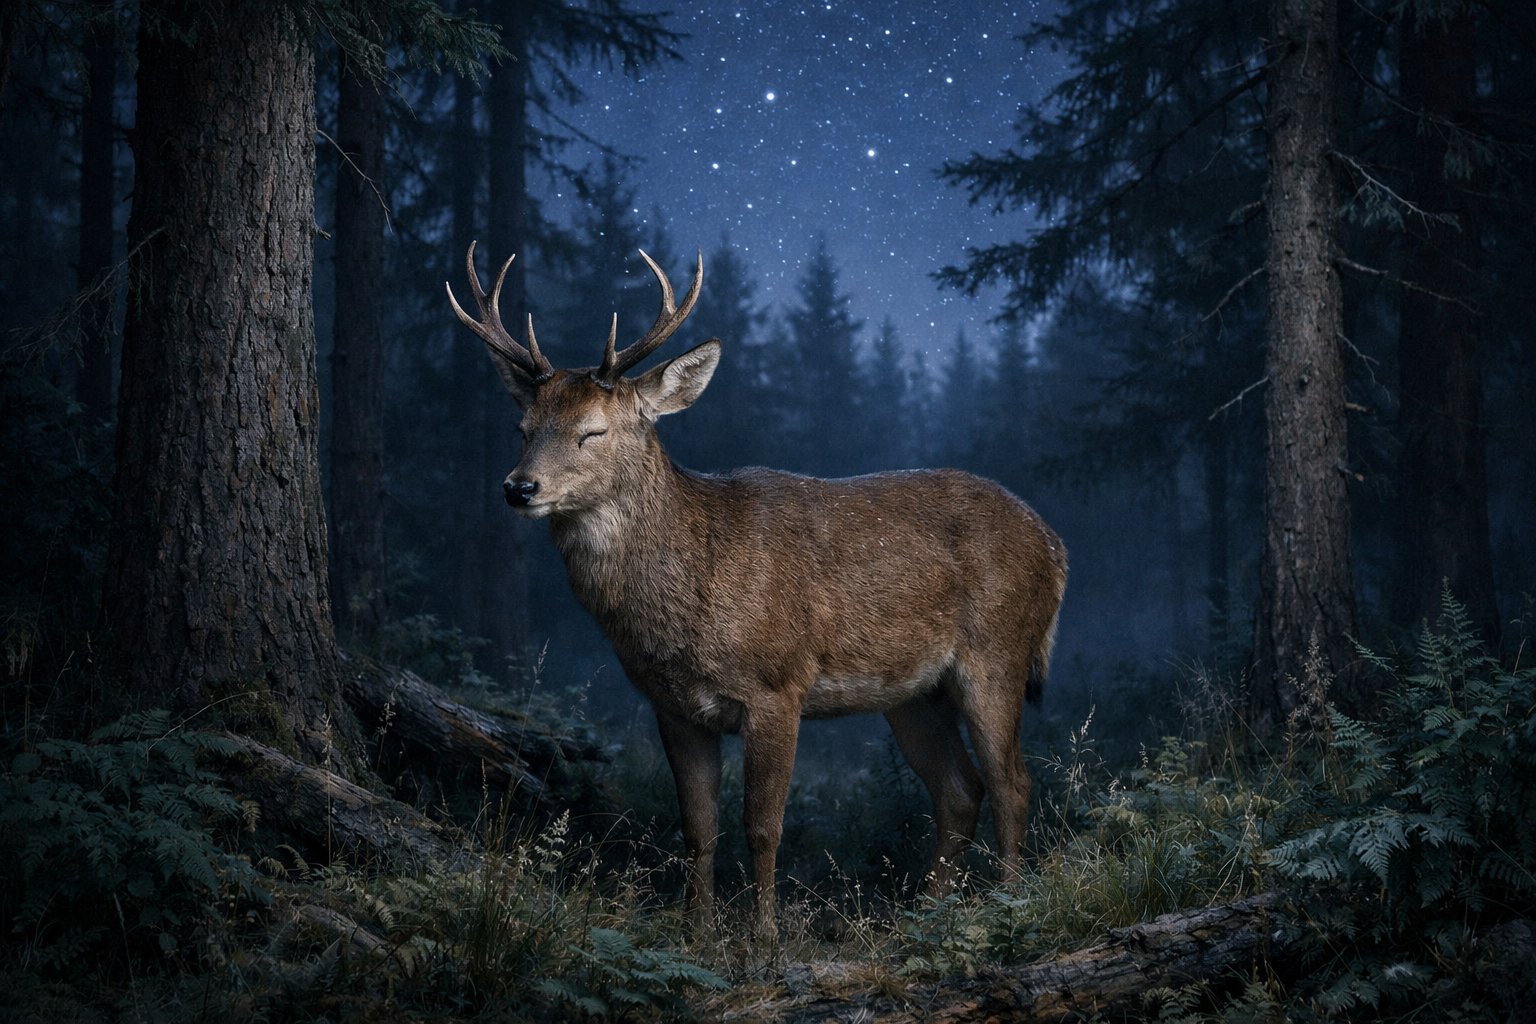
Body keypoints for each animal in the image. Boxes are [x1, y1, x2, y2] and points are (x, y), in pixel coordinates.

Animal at [446, 244, 1068, 937]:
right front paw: (697, 931)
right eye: (523, 426)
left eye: (593, 430)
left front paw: (764, 936)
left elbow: (763, 825)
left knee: (1013, 782)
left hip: (998, 652)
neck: (691, 595)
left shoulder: (778, 684)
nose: (518, 487)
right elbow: (698, 827)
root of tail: (1055, 546)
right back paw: (925, 916)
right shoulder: (674, 706)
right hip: (913, 692)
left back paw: (1008, 905)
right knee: (961, 788)